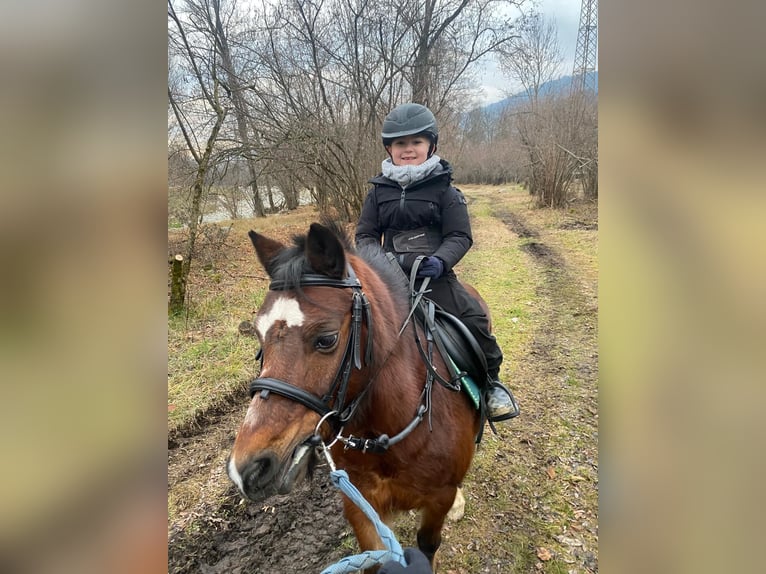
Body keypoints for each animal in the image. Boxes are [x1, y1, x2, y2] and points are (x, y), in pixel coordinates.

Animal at [227, 222, 486, 572]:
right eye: (258, 335)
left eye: (326, 339)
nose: (248, 470)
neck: (388, 434)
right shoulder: (360, 503)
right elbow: (374, 556)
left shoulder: (437, 499)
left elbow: (428, 545)